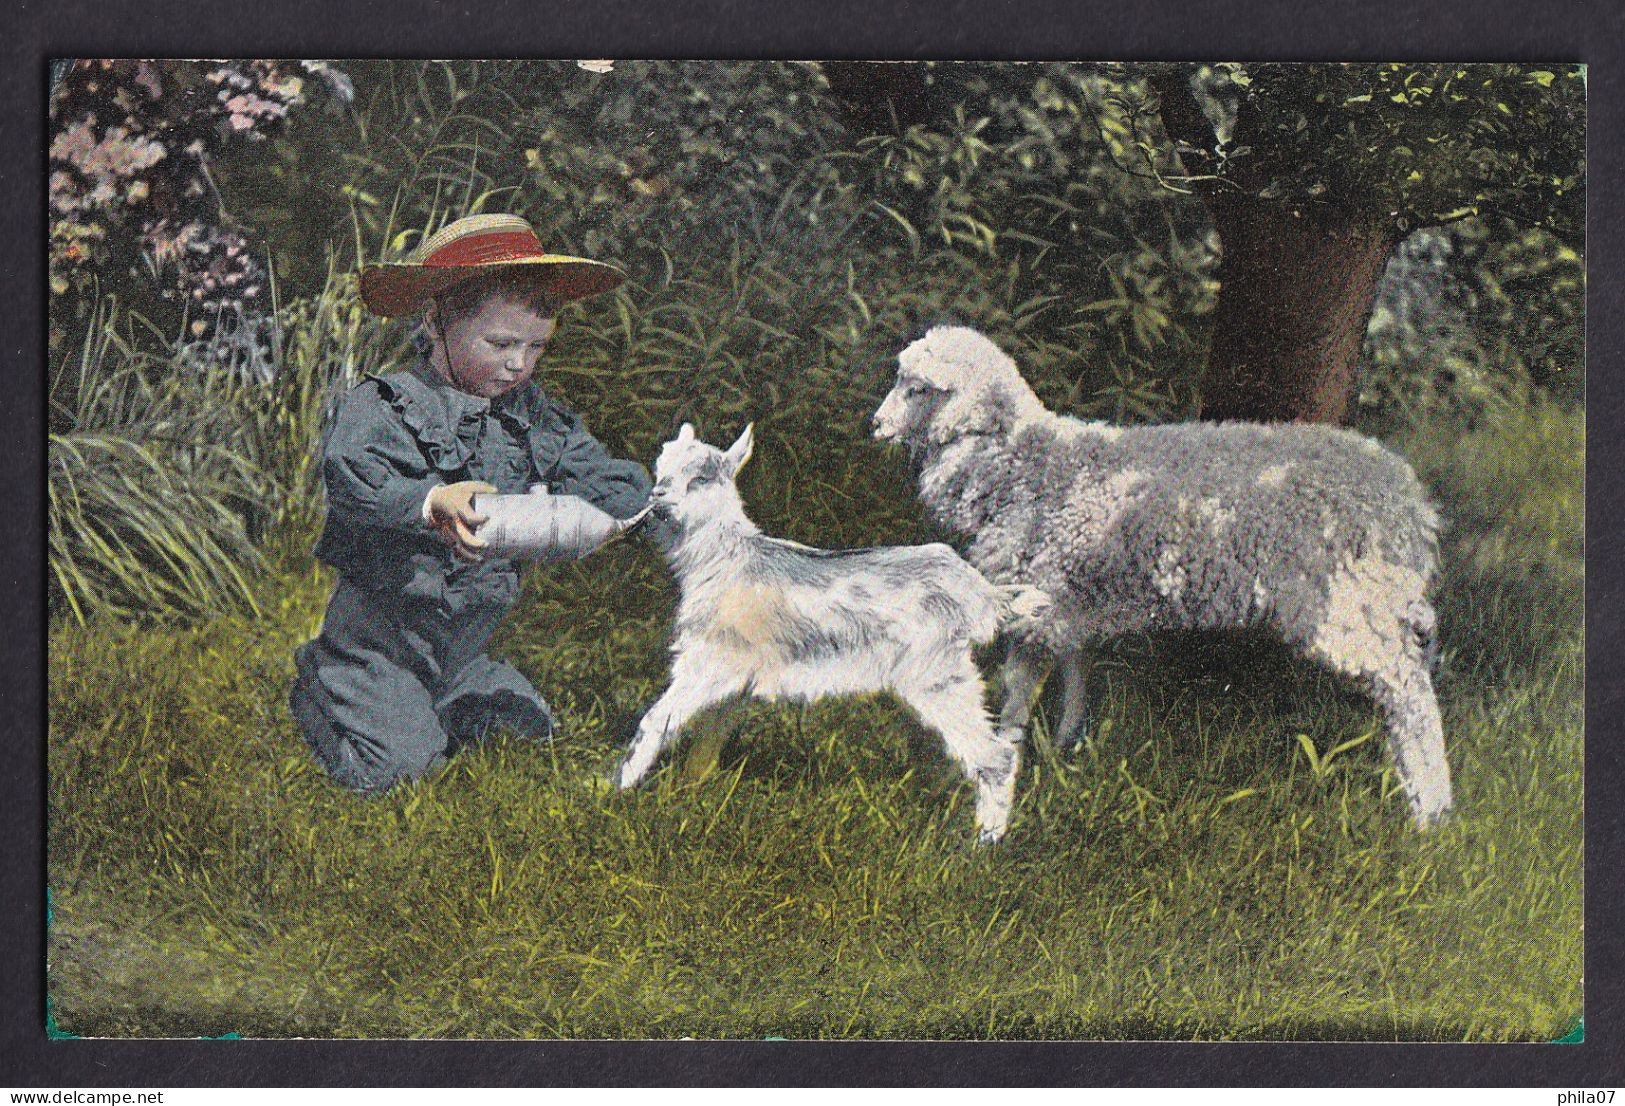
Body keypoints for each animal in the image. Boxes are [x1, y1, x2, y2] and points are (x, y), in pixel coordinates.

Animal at [614, 419, 1046, 838]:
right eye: (663, 465)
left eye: (702, 477)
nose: (658, 498)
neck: (726, 559)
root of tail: (981, 591)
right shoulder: (733, 681)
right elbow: (706, 748)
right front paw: (688, 799)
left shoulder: (705, 665)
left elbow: (655, 722)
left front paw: (618, 794)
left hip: (937, 679)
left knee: (995, 756)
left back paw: (982, 844)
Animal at [871, 323, 1456, 825]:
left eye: (918, 388)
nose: (875, 424)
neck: (1023, 462)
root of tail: (1409, 500)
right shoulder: (1068, 601)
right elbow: (1074, 673)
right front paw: (1066, 751)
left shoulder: (1041, 600)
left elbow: (1018, 693)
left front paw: (1005, 772)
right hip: (1374, 601)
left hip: (1348, 603)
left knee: (1411, 695)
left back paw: (1431, 813)